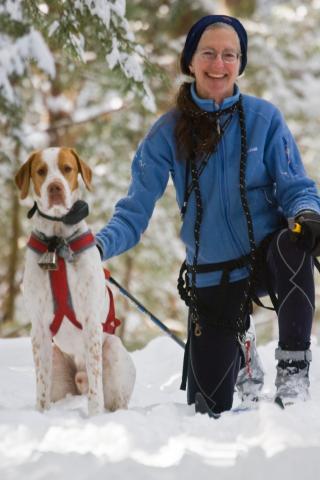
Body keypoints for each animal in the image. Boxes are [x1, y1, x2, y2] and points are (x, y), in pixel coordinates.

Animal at [15, 147, 136, 416]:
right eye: (41, 171)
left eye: (67, 168)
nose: (55, 187)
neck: (57, 242)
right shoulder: (39, 329)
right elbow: (41, 387)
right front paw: (40, 416)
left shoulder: (91, 323)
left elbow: (96, 388)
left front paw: (94, 418)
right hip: (57, 364)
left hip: (113, 350)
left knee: (112, 397)